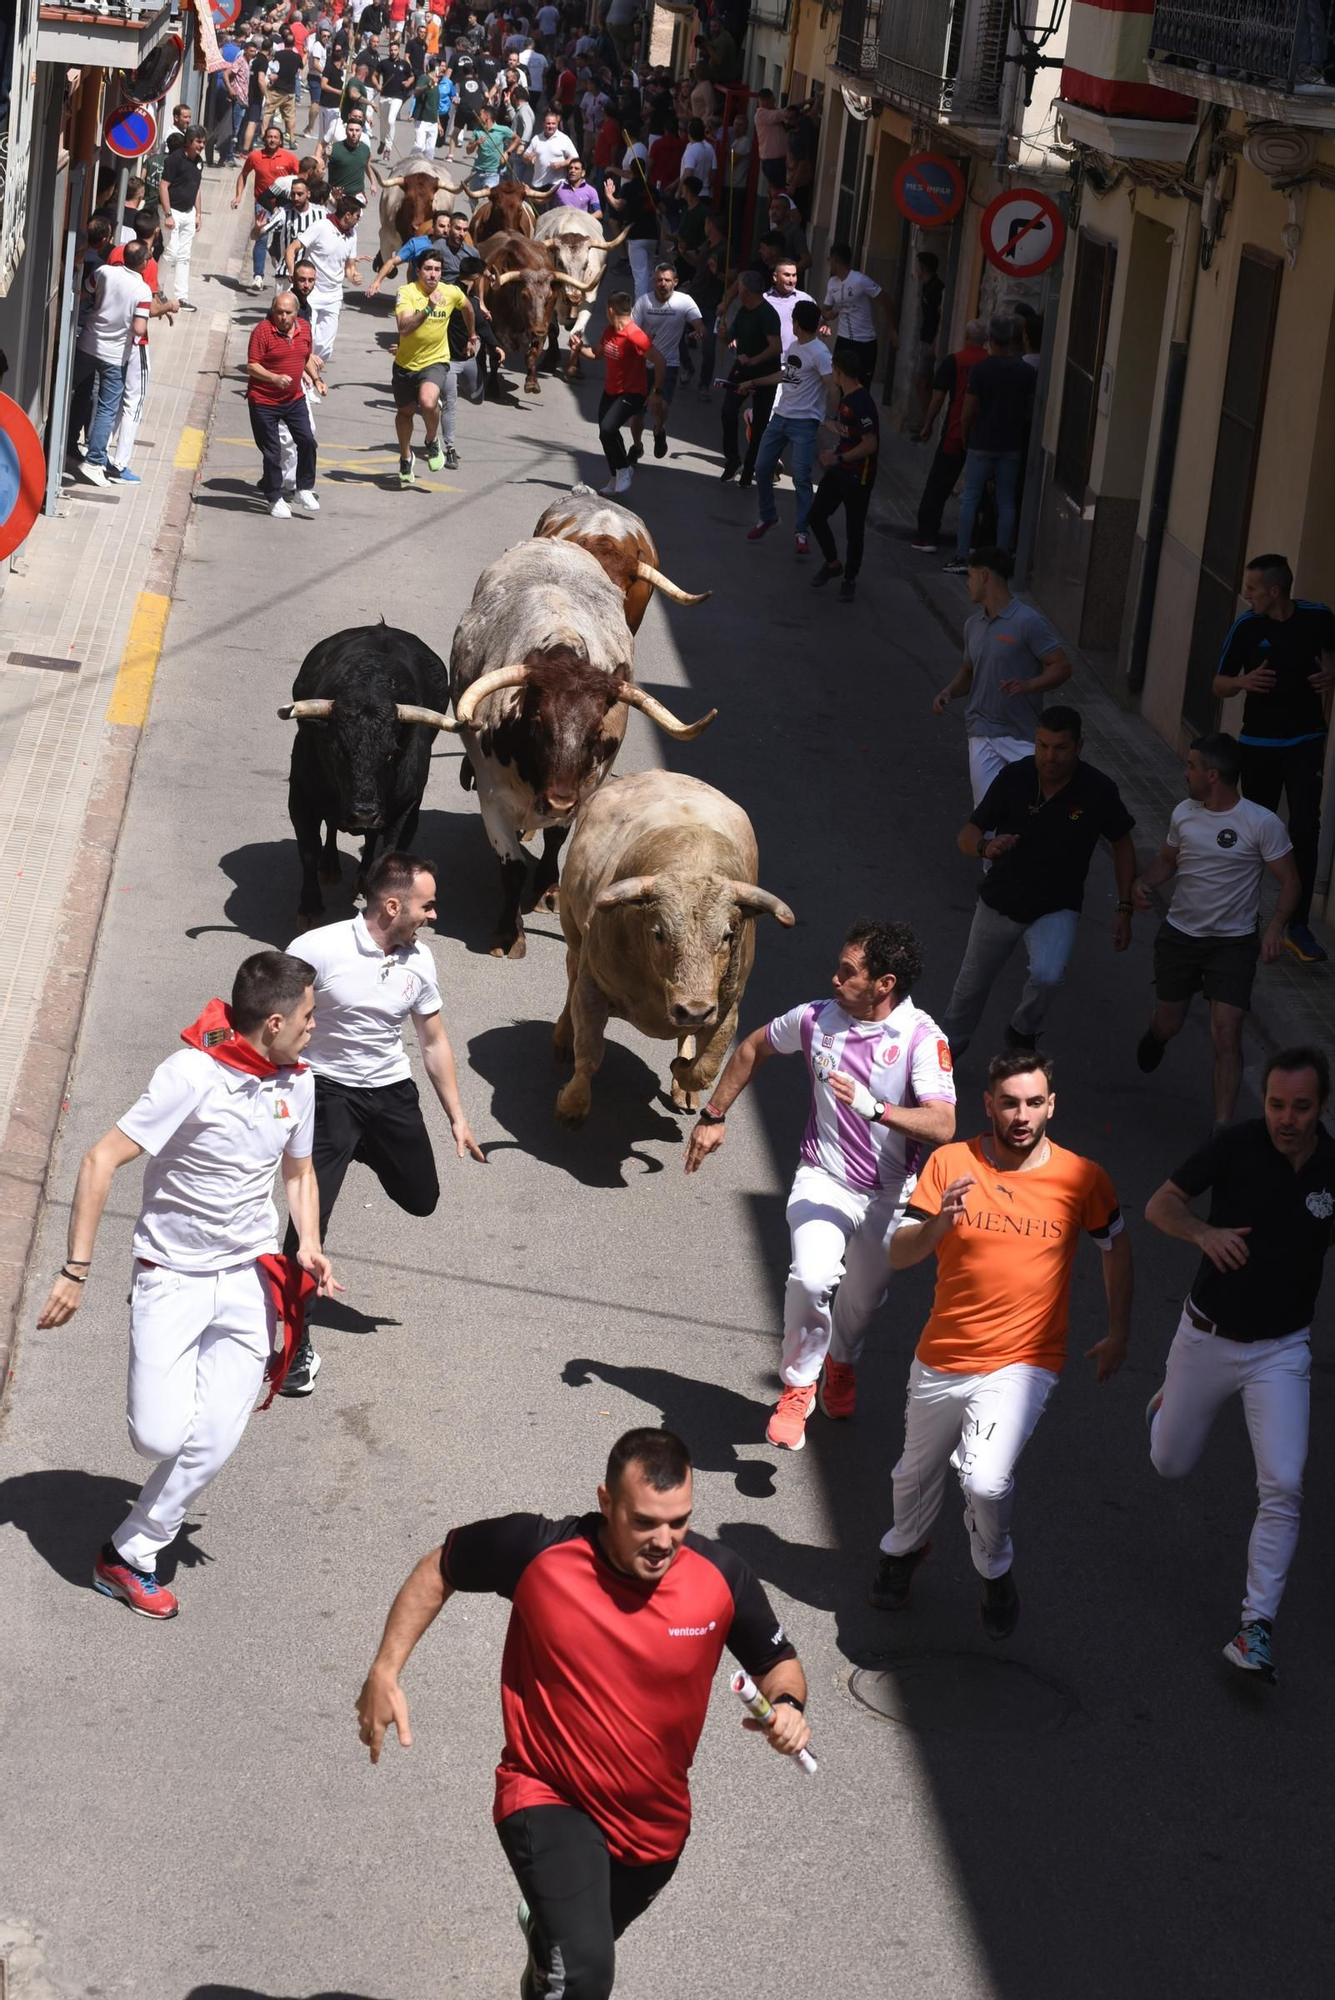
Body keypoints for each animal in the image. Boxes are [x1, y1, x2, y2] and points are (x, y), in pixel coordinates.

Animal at [447, 544, 719, 956]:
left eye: (595, 731)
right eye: (537, 721)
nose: (558, 801)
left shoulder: (582, 792)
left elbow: (556, 840)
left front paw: (547, 888)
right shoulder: (492, 796)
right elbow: (512, 868)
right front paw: (508, 934)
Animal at [551, 768, 791, 1128]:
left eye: (728, 935)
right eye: (659, 933)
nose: (693, 1009)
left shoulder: (727, 1009)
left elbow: (706, 1069)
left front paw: (683, 1073)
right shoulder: (592, 986)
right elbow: (590, 1053)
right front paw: (571, 1107)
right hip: (572, 929)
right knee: (570, 974)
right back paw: (564, 1037)